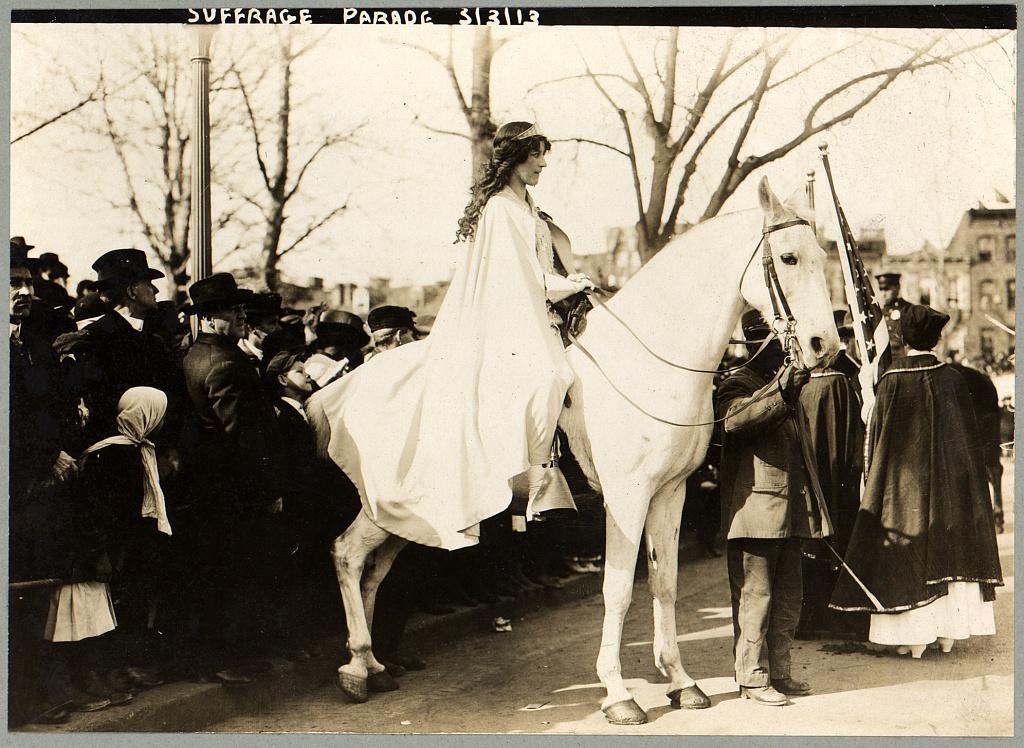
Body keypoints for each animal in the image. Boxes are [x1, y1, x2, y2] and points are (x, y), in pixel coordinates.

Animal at [309, 176, 839, 721]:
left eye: (824, 255)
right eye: (790, 258)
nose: (826, 345)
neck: (645, 364)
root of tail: (341, 388)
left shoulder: (670, 493)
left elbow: (665, 583)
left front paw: (681, 680)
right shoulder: (626, 499)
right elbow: (619, 589)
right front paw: (619, 694)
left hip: (412, 516)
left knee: (373, 571)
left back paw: (373, 664)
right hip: (389, 507)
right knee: (347, 555)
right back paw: (356, 669)